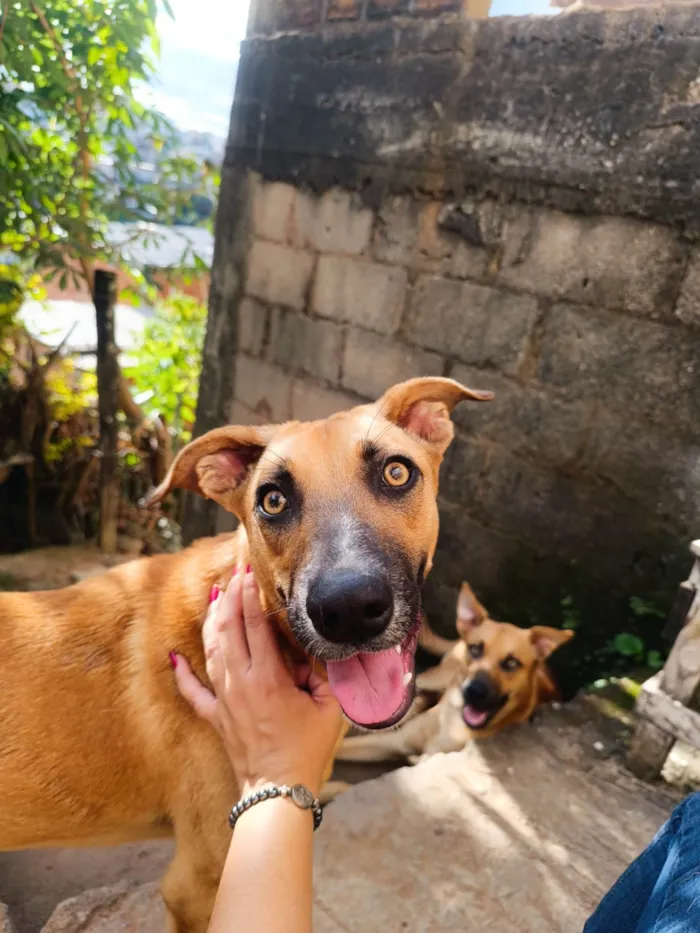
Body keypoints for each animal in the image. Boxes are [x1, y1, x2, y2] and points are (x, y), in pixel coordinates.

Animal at [334, 584, 576, 764]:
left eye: (511, 663)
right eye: (475, 649)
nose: (474, 692)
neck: (452, 723)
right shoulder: (392, 741)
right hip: (435, 678)